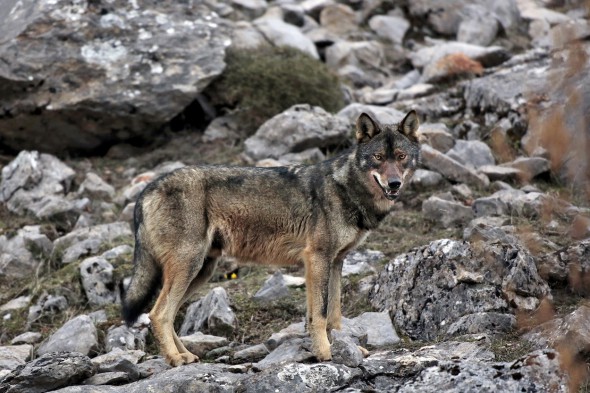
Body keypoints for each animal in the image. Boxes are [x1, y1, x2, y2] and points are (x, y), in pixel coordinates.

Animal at [122, 109, 424, 364]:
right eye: (378, 158)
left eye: (400, 156)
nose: (394, 184)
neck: (345, 189)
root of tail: (146, 190)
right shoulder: (317, 259)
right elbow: (319, 314)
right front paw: (325, 352)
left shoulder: (336, 262)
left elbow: (335, 314)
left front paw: (346, 346)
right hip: (189, 267)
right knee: (158, 314)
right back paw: (175, 359)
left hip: (200, 272)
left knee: (168, 315)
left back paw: (185, 355)